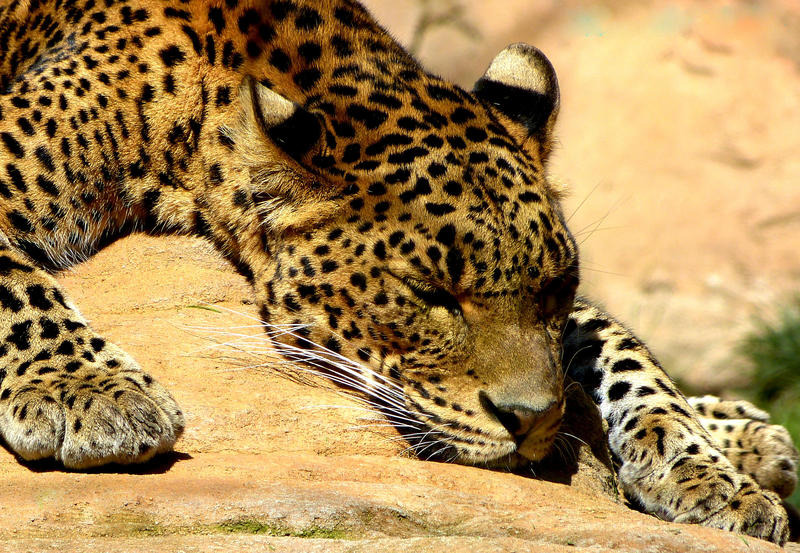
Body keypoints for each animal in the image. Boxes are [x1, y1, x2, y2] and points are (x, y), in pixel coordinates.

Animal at [0, 0, 792, 544]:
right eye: (430, 296)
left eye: (554, 290)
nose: (533, 423)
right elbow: (20, 289)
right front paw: (88, 392)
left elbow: (623, 346)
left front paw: (709, 475)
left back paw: (749, 432)